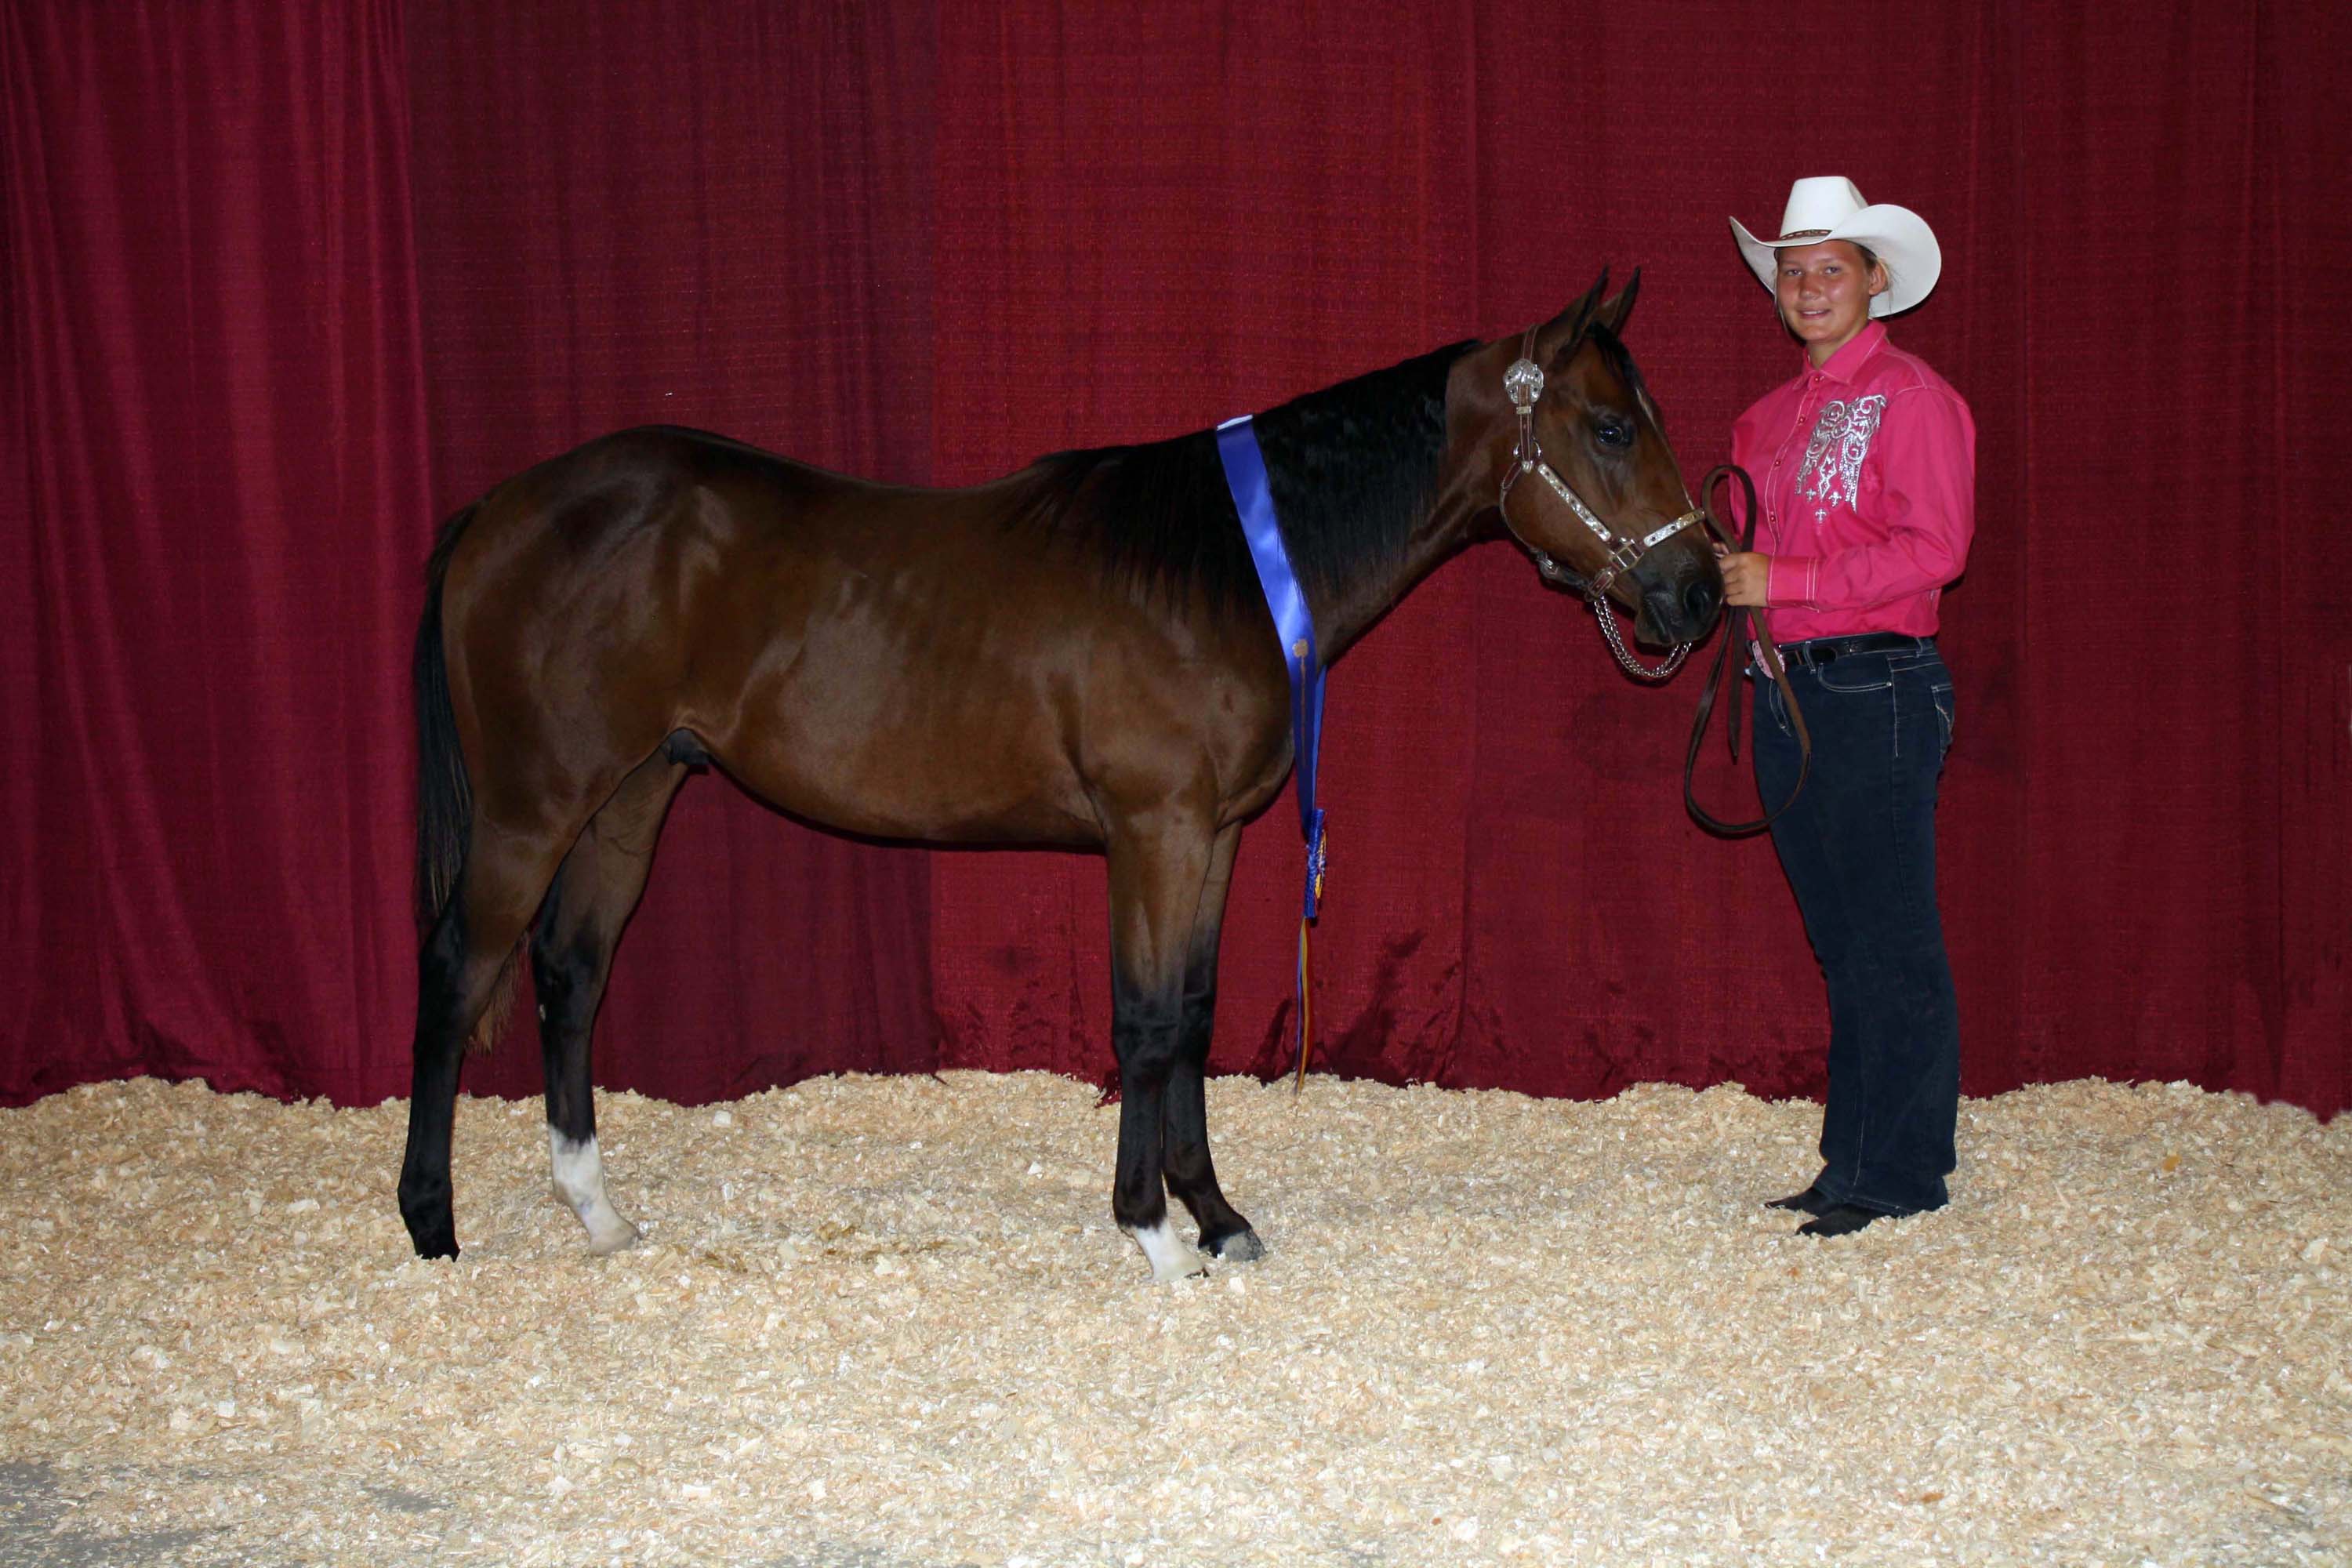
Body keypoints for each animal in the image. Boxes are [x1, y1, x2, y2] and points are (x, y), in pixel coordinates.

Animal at [397, 271, 1724, 1282]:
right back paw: (431, 1226)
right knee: (459, 969)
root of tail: (499, 509)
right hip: (532, 808)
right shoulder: (1154, 833)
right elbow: (1143, 1022)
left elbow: (1192, 1015)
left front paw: (1216, 1215)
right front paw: (1155, 1236)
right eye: (1613, 428)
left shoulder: (1214, 837)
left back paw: (599, 1213)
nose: (1701, 594)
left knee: (570, 973)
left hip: (630, 796)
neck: (1225, 566)